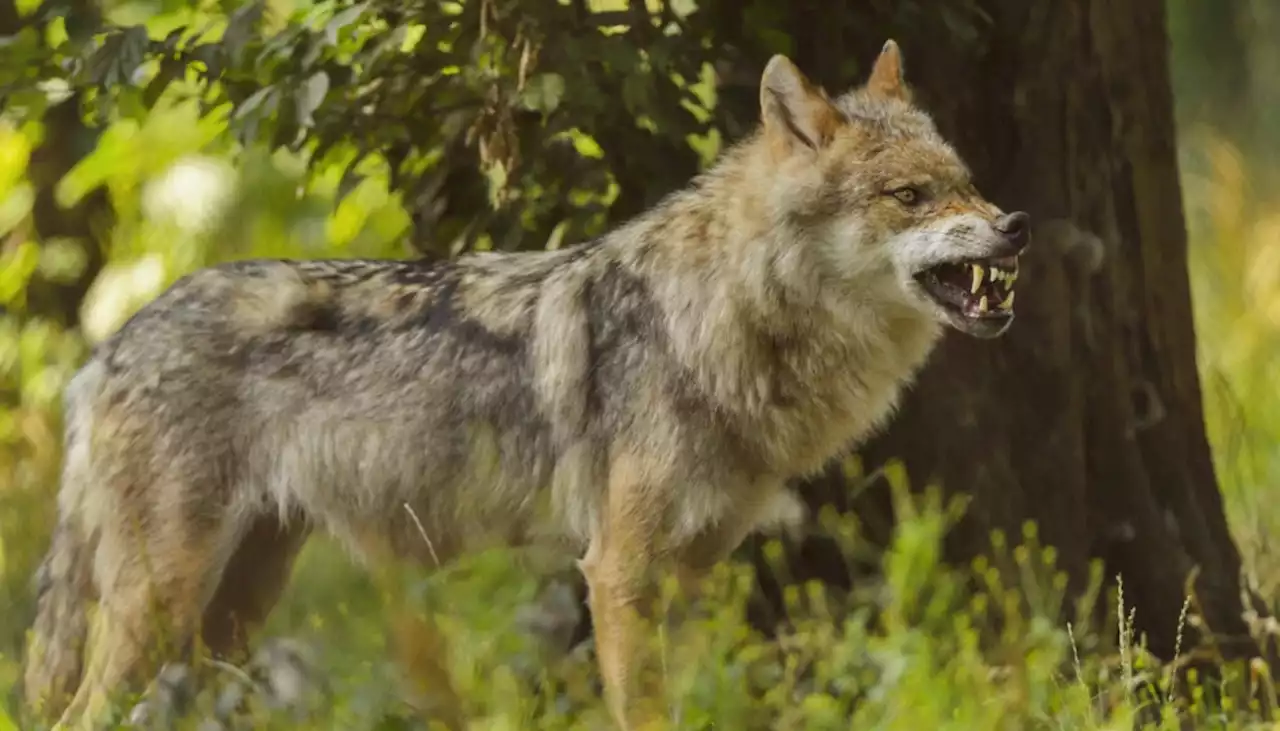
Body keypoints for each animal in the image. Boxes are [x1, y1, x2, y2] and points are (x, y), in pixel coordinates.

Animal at [20, 41, 1029, 731]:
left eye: (967, 184)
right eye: (908, 197)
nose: (1015, 224)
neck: (720, 319)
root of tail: (106, 347)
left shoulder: (692, 575)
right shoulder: (619, 571)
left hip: (228, 617)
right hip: (162, 604)